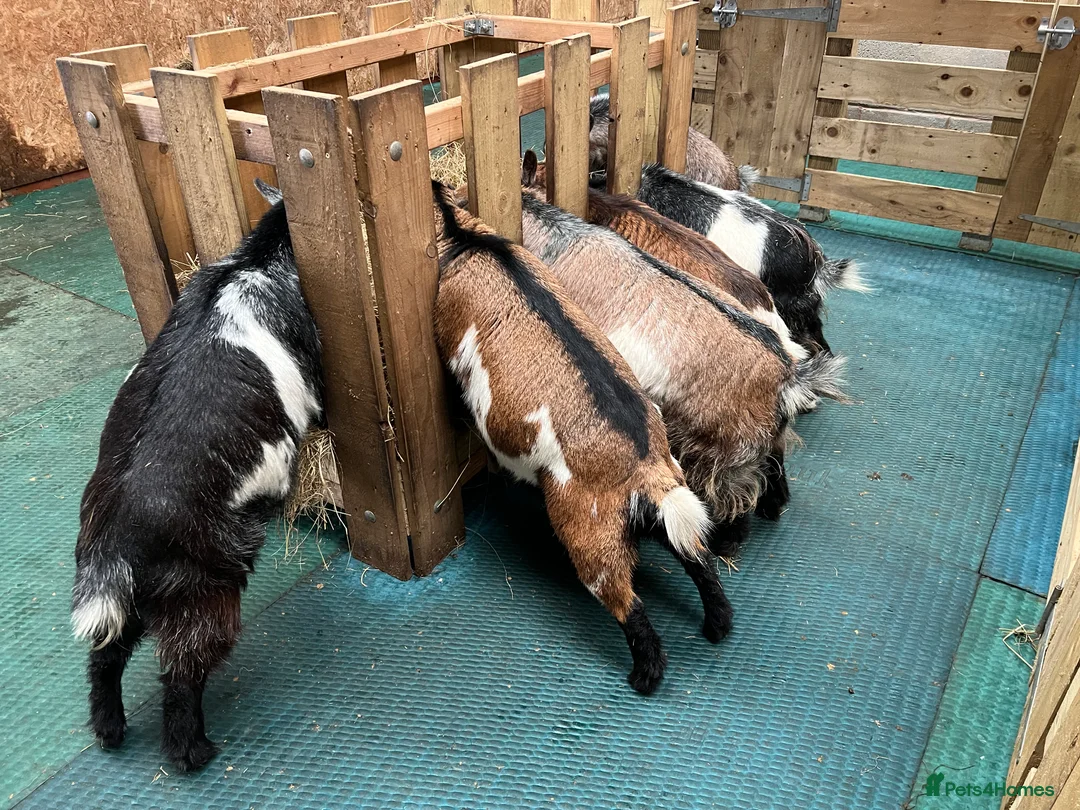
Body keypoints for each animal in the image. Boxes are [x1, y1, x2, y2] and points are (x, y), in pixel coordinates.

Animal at [71, 179, 322, 771]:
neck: (254, 263)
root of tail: (118, 542)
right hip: (202, 587)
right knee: (182, 671)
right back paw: (192, 751)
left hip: (128, 601)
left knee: (106, 655)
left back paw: (110, 729)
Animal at [432, 182, 730, 695]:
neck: (469, 239)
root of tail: (646, 468)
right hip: (670, 504)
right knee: (698, 557)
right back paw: (716, 626)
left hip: (590, 530)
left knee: (628, 603)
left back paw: (643, 676)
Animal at [513, 154, 822, 543]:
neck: (561, 236)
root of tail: (787, 376)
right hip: (766, 438)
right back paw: (773, 507)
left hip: (722, 451)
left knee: (732, 496)